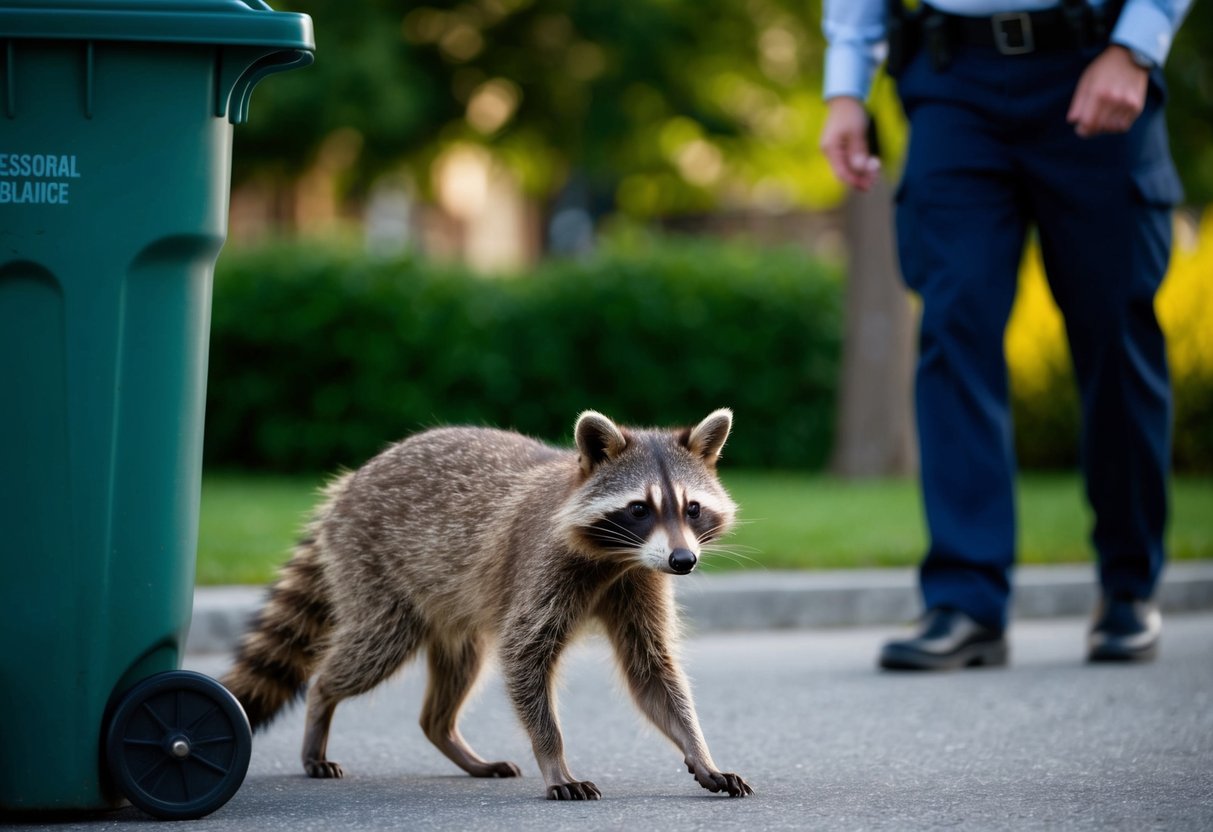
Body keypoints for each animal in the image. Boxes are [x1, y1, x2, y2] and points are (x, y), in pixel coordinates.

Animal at [222, 409, 752, 800]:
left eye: (692, 508)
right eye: (639, 508)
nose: (683, 561)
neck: (616, 558)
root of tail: (350, 482)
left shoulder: (638, 581)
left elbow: (651, 669)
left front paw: (700, 751)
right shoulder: (543, 567)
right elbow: (523, 653)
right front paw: (554, 759)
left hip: (448, 604)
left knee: (460, 665)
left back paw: (446, 734)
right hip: (374, 570)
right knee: (371, 650)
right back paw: (322, 702)